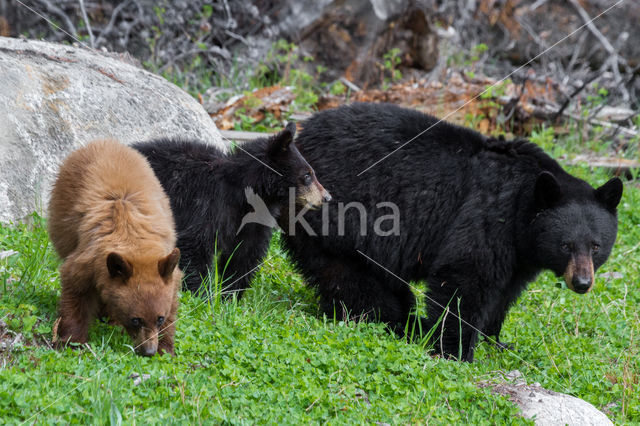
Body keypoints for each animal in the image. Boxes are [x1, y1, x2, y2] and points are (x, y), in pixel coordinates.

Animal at [137, 123, 332, 294]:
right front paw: (199, 294)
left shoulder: (255, 219)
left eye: (311, 173)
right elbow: (195, 245)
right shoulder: (205, 205)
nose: (327, 197)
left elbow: (244, 254)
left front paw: (230, 296)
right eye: (307, 175)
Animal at [282, 101, 624, 362]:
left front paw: (497, 340)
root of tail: (304, 137)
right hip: (336, 220)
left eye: (595, 246)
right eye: (566, 245)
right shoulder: (488, 216)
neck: (522, 205)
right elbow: (465, 276)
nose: (582, 282)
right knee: (358, 285)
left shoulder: (520, 253)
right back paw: (401, 323)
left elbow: (505, 293)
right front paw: (457, 351)